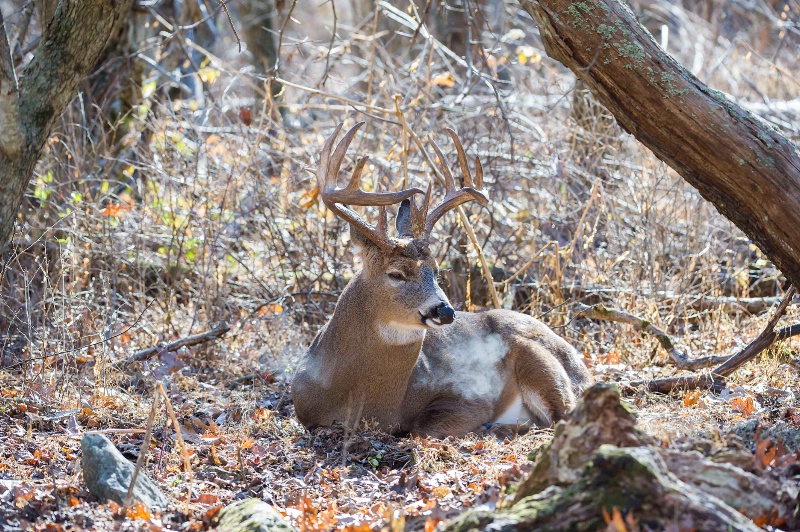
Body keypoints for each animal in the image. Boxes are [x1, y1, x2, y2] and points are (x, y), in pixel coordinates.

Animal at [294, 122, 592, 438]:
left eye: (435, 270)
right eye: (396, 274)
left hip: (537, 358)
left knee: (562, 416)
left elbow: (421, 427)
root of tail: (581, 367)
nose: (445, 311)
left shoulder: (470, 395)